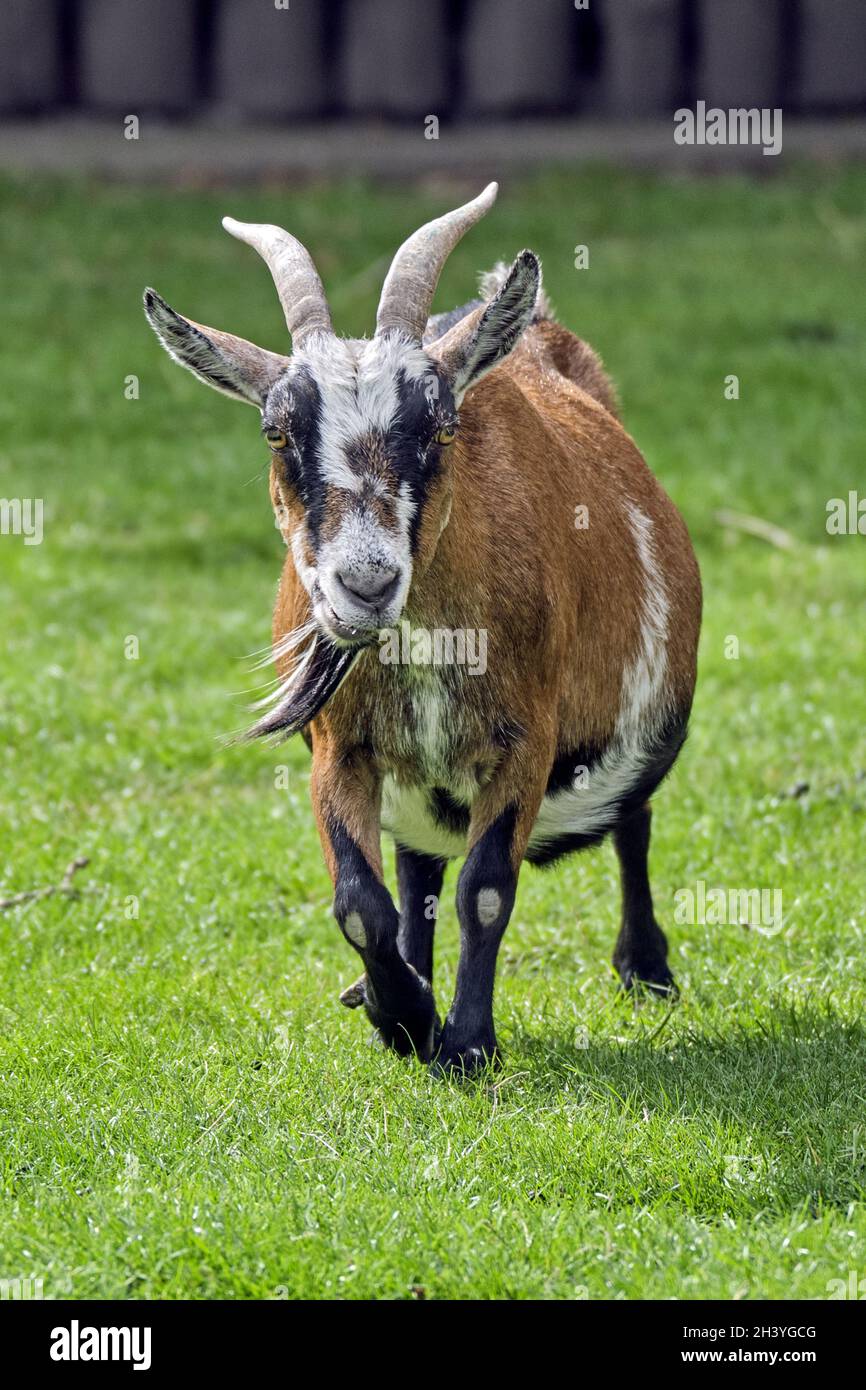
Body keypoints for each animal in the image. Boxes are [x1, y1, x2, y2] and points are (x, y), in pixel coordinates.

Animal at [144, 183, 701, 1074]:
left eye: (441, 427)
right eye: (277, 430)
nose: (366, 583)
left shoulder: (524, 741)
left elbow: (485, 892)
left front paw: (468, 1044)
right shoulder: (342, 747)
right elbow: (362, 902)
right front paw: (401, 1013)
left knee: (633, 819)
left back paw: (645, 968)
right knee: (416, 864)